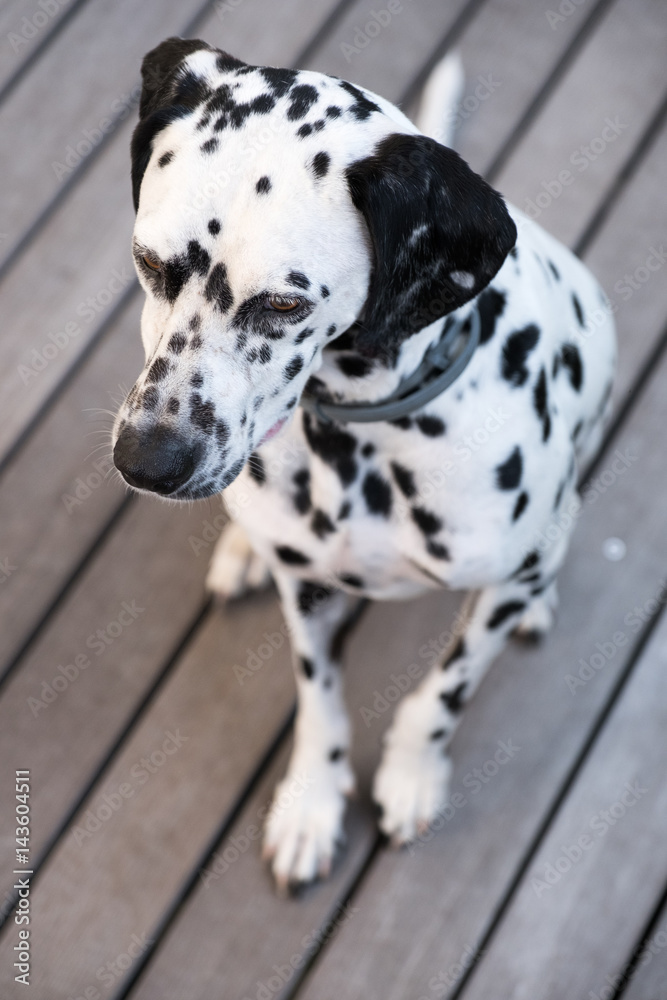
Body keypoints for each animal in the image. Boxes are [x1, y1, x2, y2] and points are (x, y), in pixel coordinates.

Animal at [113, 37, 616, 892]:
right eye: (150, 262)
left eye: (285, 304)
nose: (146, 460)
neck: (362, 437)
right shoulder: (308, 590)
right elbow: (318, 703)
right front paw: (310, 803)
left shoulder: (488, 592)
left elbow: (442, 692)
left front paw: (412, 774)